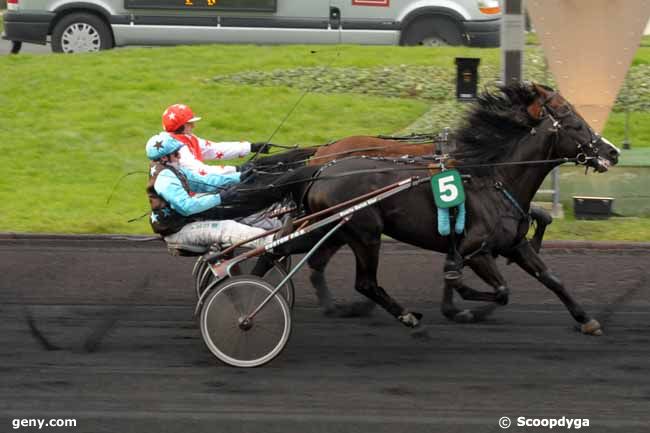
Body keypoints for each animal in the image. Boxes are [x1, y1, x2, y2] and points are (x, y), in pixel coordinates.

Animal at [256, 82, 616, 336]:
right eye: (574, 123)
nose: (611, 152)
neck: (495, 176)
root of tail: (321, 165)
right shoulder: (475, 249)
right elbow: (496, 289)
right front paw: (463, 304)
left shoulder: (514, 244)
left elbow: (552, 278)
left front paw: (586, 319)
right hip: (362, 233)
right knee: (361, 281)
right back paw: (404, 316)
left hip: (332, 229)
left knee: (286, 251)